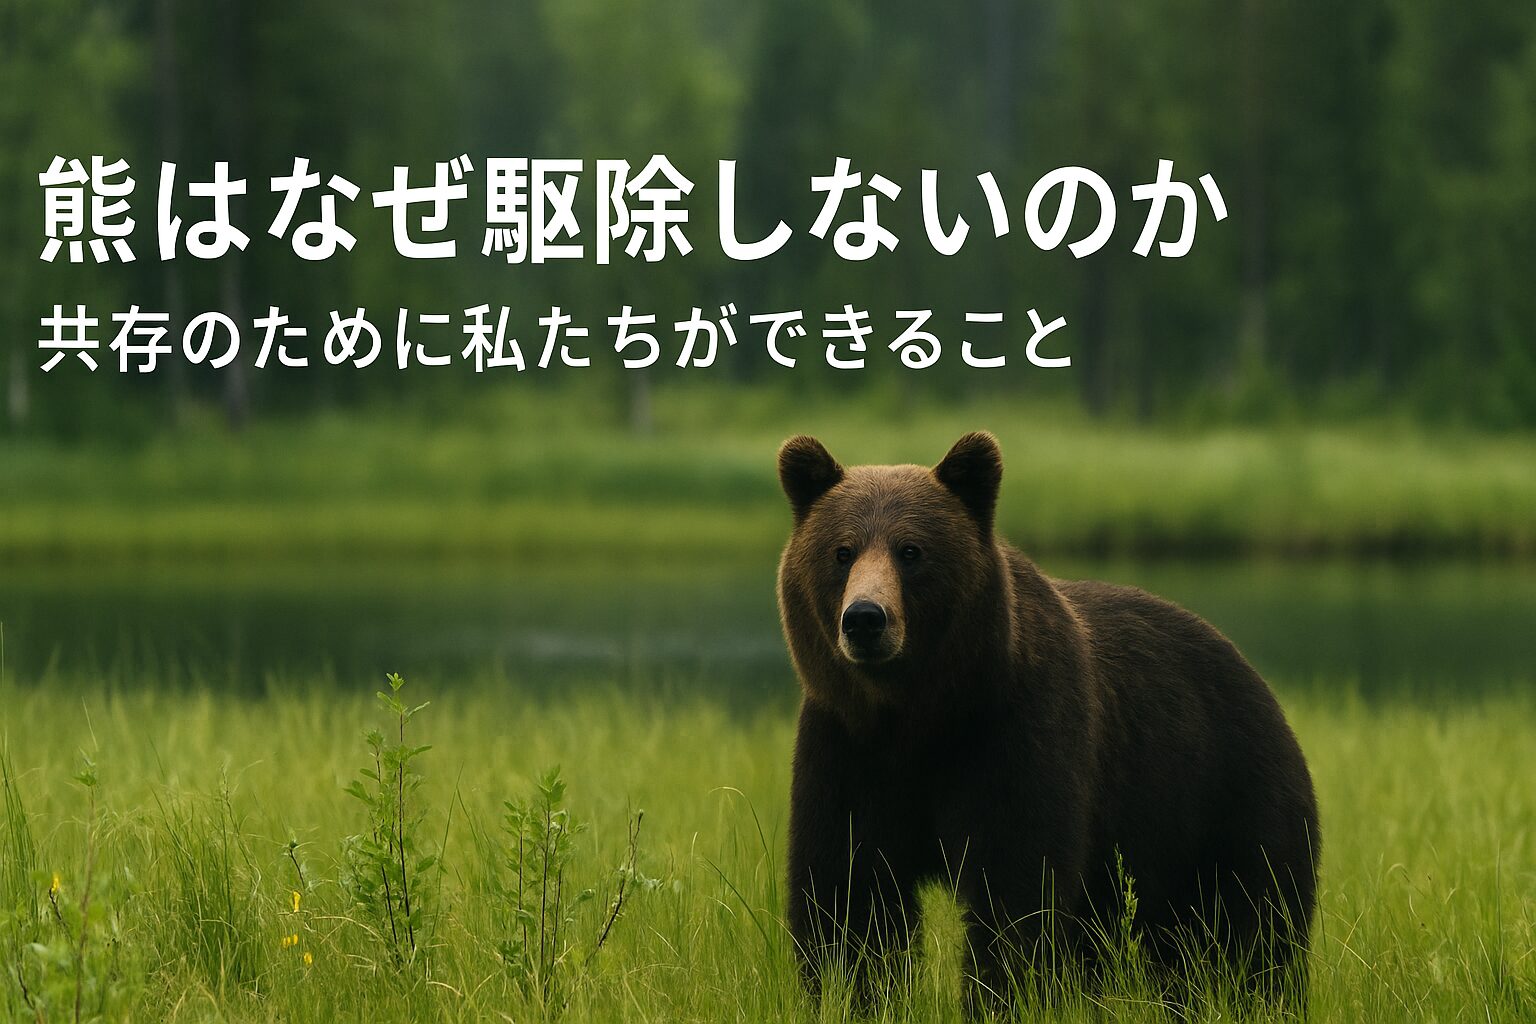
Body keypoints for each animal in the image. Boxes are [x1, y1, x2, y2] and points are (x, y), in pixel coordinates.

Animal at [776, 431, 1319, 1013]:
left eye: (911, 551)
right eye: (841, 552)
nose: (864, 619)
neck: (922, 714)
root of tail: (1255, 677)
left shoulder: (1019, 728)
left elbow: (1016, 886)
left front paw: (996, 997)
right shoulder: (847, 745)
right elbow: (848, 892)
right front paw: (849, 993)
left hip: (1228, 795)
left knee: (1257, 924)